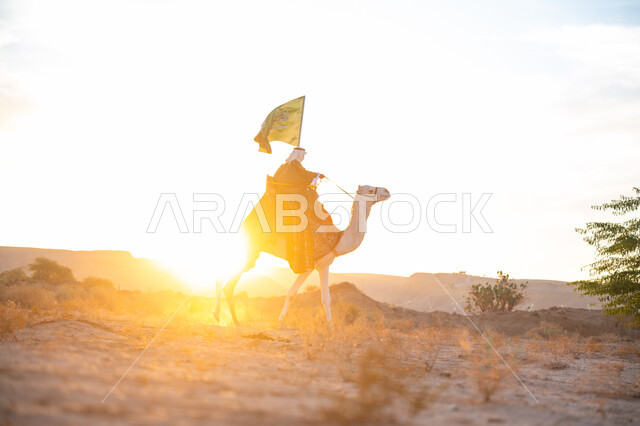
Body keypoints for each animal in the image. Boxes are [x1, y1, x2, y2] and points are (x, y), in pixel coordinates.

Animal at [213, 185, 391, 326]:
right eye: (369, 189)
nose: (386, 191)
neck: (338, 239)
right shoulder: (309, 265)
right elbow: (292, 293)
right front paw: (281, 321)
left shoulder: (324, 265)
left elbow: (326, 298)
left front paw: (331, 326)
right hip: (252, 251)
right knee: (228, 284)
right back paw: (234, 321)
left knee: (222, 276)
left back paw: (218, 316)